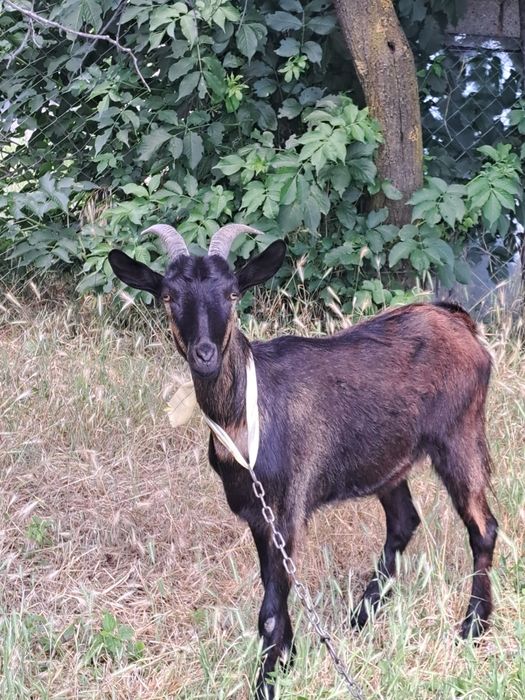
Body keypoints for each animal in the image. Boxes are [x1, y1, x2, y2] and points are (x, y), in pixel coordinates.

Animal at [109, 224, 498, 699]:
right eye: (167, 295)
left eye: (233, 293)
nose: (204, 353)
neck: (246, 412)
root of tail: (460, 322)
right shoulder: (257, 513)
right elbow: (273, 590)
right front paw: (286, 659)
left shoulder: (287, 507)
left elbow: (271, 608)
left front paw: (267, 681)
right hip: (389, 460)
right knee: (404, 521)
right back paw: (361, 616)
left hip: (460, 434)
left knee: (482, 527)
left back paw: (472, 627)